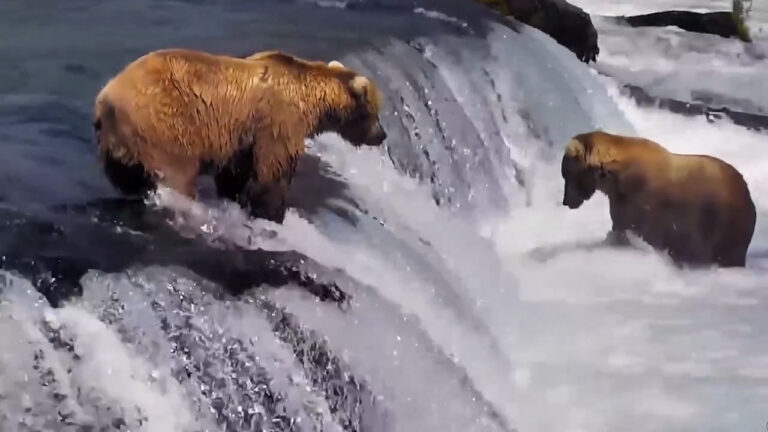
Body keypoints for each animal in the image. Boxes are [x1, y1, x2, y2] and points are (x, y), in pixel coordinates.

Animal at [93, 48, 386, 223]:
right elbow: (273, 172)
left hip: (119, 143)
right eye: (375, 111)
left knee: (127, 176)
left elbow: (237, 173)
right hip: (166, 126)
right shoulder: (279, 122)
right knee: (178, 175)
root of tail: (105, 97)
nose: (382, 136)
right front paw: (272, 213)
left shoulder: (244, 138)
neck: (312, 101)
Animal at [560, 130, 756, 268]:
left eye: (566, 174)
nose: (566, 201)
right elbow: (621, 227)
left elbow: (645, 230)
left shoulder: (648, 199)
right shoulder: (621, 201)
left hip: (723, 222)